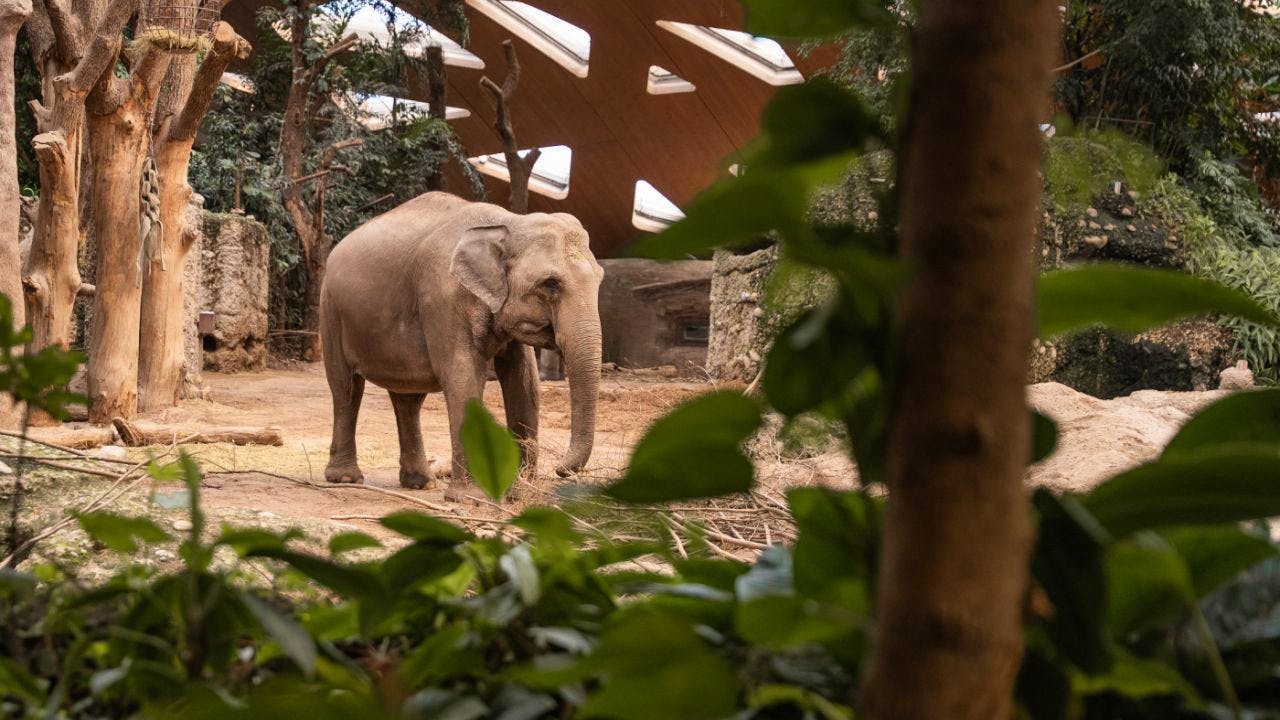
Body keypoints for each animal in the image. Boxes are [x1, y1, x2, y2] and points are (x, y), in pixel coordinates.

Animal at [319, 192, 604, 500]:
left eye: (600, 278)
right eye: (550, 284)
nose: (560, 470)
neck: (507, 223)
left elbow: (525, 381)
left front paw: (518, 495)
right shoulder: (443, 298)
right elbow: (463, 377)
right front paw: (470, 498)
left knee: (407, 398)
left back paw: (421, 483)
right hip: (331, 310)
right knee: (346, 388)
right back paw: (345, 478)